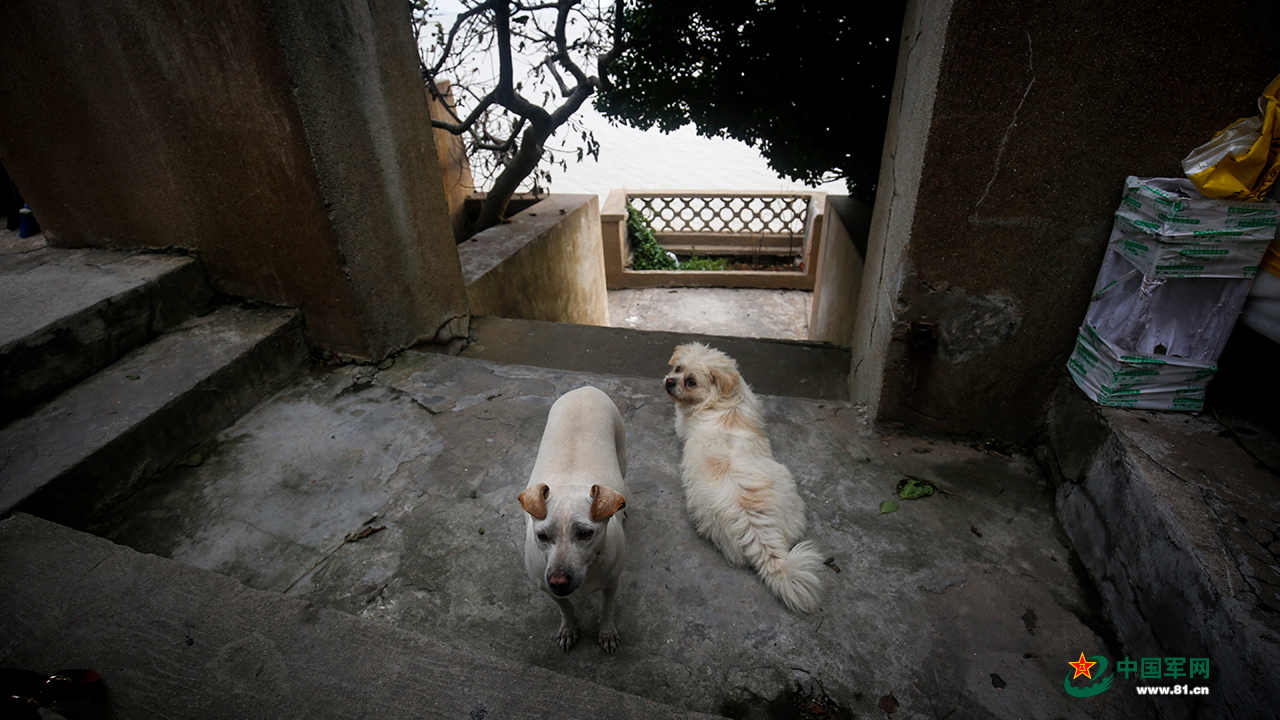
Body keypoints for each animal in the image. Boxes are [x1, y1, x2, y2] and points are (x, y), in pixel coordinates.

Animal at [514, 386, 624, 650]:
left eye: (585, 534)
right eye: (542, 536)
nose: (558, 581)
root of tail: (586, 388)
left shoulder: (612, 583)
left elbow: (607, 608)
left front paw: (606, 632)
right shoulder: (548, 589)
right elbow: (564, 607)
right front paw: (569, 628)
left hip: (622, 447)